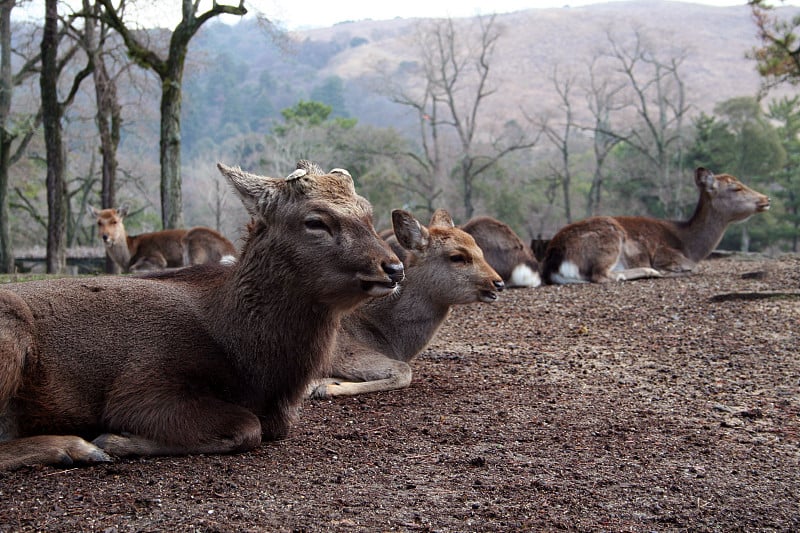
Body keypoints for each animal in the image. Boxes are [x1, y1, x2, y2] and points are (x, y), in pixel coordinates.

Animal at [89, 206, 238, 272]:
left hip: (194, 241)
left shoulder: (155, 256)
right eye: (99, 222)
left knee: (195, 264)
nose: (105, 236)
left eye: (114, 221)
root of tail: (232, 251)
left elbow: (134, 268)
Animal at [310, 209, 504, 400]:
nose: (498, 283)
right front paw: (326, 388)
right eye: (457, 257)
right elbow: (404, 371)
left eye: (480, 250)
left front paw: (326, 385)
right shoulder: (343, 353)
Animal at [540, 166, 772, 284]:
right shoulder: (665, 253)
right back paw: (650, 271)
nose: (766, 199)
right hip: (609, 238)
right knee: (601, 275)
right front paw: (668, 270)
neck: (690, 245)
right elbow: (692, 266)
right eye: (736, 188)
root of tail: (555, 262)